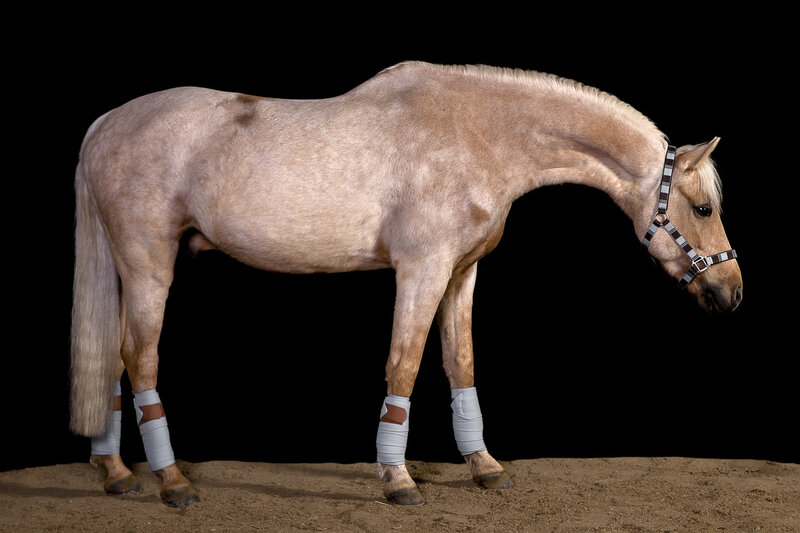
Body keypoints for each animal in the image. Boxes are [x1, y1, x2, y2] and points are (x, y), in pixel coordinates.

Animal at [71, 61, 742, 507]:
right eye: (704, 208)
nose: (732, 292)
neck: (479, 134)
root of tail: (105, 123)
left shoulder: (462, 272)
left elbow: (460, 361)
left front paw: (484, 466)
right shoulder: (422, 269)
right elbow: (405, 362)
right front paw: (397, 479)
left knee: (110, 359)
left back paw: (115, 473)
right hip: (149, 263)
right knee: (139, 356)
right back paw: (172, 482)